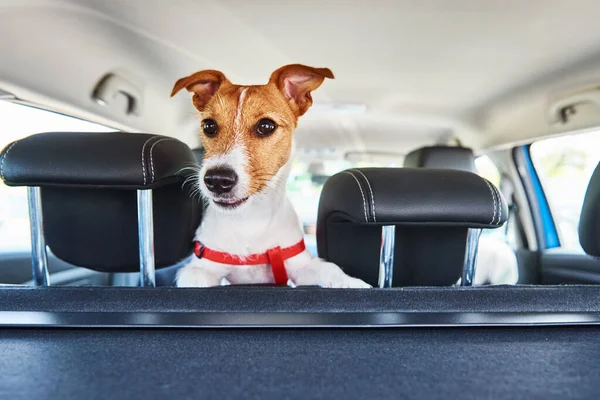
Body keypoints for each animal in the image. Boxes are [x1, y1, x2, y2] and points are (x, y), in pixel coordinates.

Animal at [169, 63, 372, 288]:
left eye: (266, 126)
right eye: (209, 126)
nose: (217, 180)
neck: (250, 220)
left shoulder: (300, 265)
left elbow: (328, 268)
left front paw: (351, 282)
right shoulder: (200, 267)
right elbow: (194, 278)